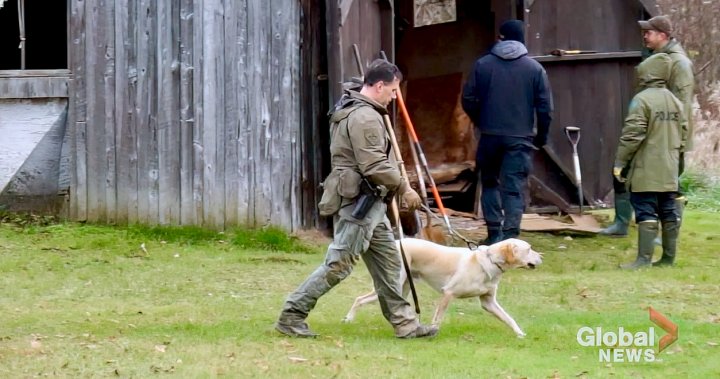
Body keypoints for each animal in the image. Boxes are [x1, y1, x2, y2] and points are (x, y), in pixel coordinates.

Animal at [344, 238, 540, 338]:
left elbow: (509, 318)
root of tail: (396, 240)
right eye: (529, 249)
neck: (490, 261)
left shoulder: (489, 303)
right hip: (393, 285)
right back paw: (349, 319)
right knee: (359, 299)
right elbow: (437, 319)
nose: (541, 257)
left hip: (402, 289)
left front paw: (520, 333)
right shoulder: (448, 293)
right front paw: (432, 333)